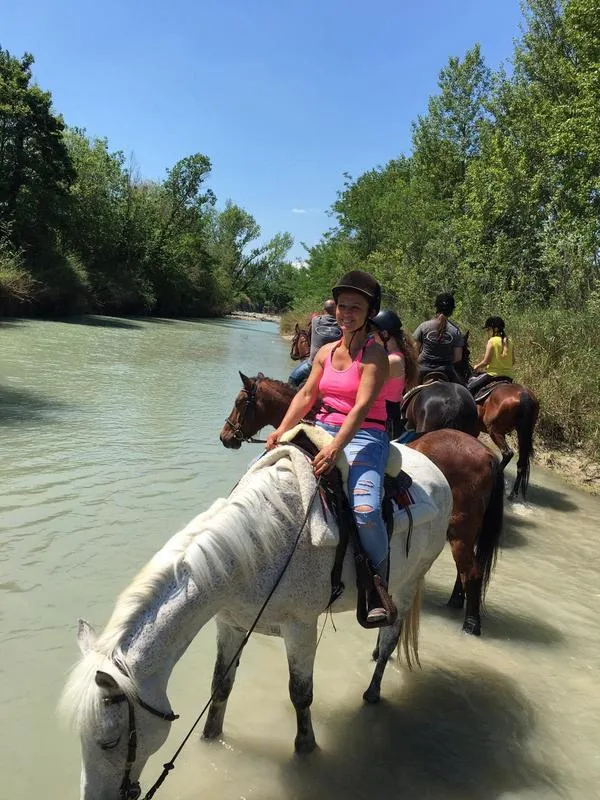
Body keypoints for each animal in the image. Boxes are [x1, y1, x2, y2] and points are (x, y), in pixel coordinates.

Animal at [60, 440, 452, 799]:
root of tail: (435, 470)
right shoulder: (231, 624)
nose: (94, 799)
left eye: (109, 742)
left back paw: (372, 690)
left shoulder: (300, 628)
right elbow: (220, 686)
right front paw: (210, 736)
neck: (253, 550)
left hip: (408, 582)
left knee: (390, 637)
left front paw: (306, 748)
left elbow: (301, 694)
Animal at [221, 373, 504, 636]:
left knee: (472, 572)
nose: (225, 436)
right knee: (467, 570)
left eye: (240, 402)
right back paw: (456, 601)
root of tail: (486, 454)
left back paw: (471, 624)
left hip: (461, 529)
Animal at [456, 333, 540, 500]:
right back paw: (512, 494)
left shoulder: (473, 429)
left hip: (495, 430)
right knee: (521, 462)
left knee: (508, 453)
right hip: (522, 432)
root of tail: (525, 395)